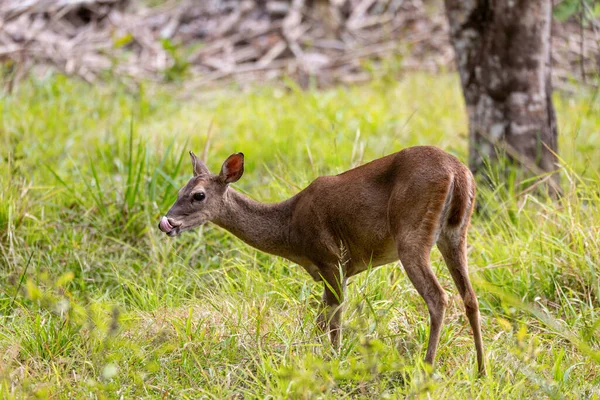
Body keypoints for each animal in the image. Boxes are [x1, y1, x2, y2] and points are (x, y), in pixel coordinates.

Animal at [161, 147, 488, 376]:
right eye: (178, 191)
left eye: (198, 195)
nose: (167, 222)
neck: (290, 229)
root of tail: (458, 172)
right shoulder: (333, 269)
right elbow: (321, 319)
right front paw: (314, 357)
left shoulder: (331, 260)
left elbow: (333, 320)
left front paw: (334, 360)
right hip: (455, 234)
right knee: (470, 297)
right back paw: (481, 370)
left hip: (411, 236)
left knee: (438, 297)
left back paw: (427, 368)